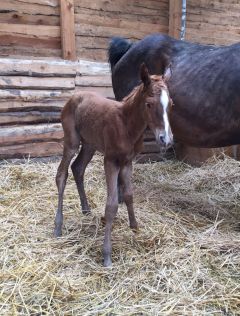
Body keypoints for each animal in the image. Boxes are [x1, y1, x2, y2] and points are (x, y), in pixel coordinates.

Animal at [54, 64, 173, 266]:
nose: (166, 139)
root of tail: (74, 96)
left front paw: (135, 228)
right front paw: (107, 255)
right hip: (72, 141)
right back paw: (58, 226)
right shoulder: (110, 161)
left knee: (78, 168)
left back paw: (86, 209)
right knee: (61, 174)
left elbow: (129, 195)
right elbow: (111, 205)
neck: (126, 126)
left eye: (171, 104)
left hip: (90, 144)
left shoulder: (127, 161)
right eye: (149, 104)